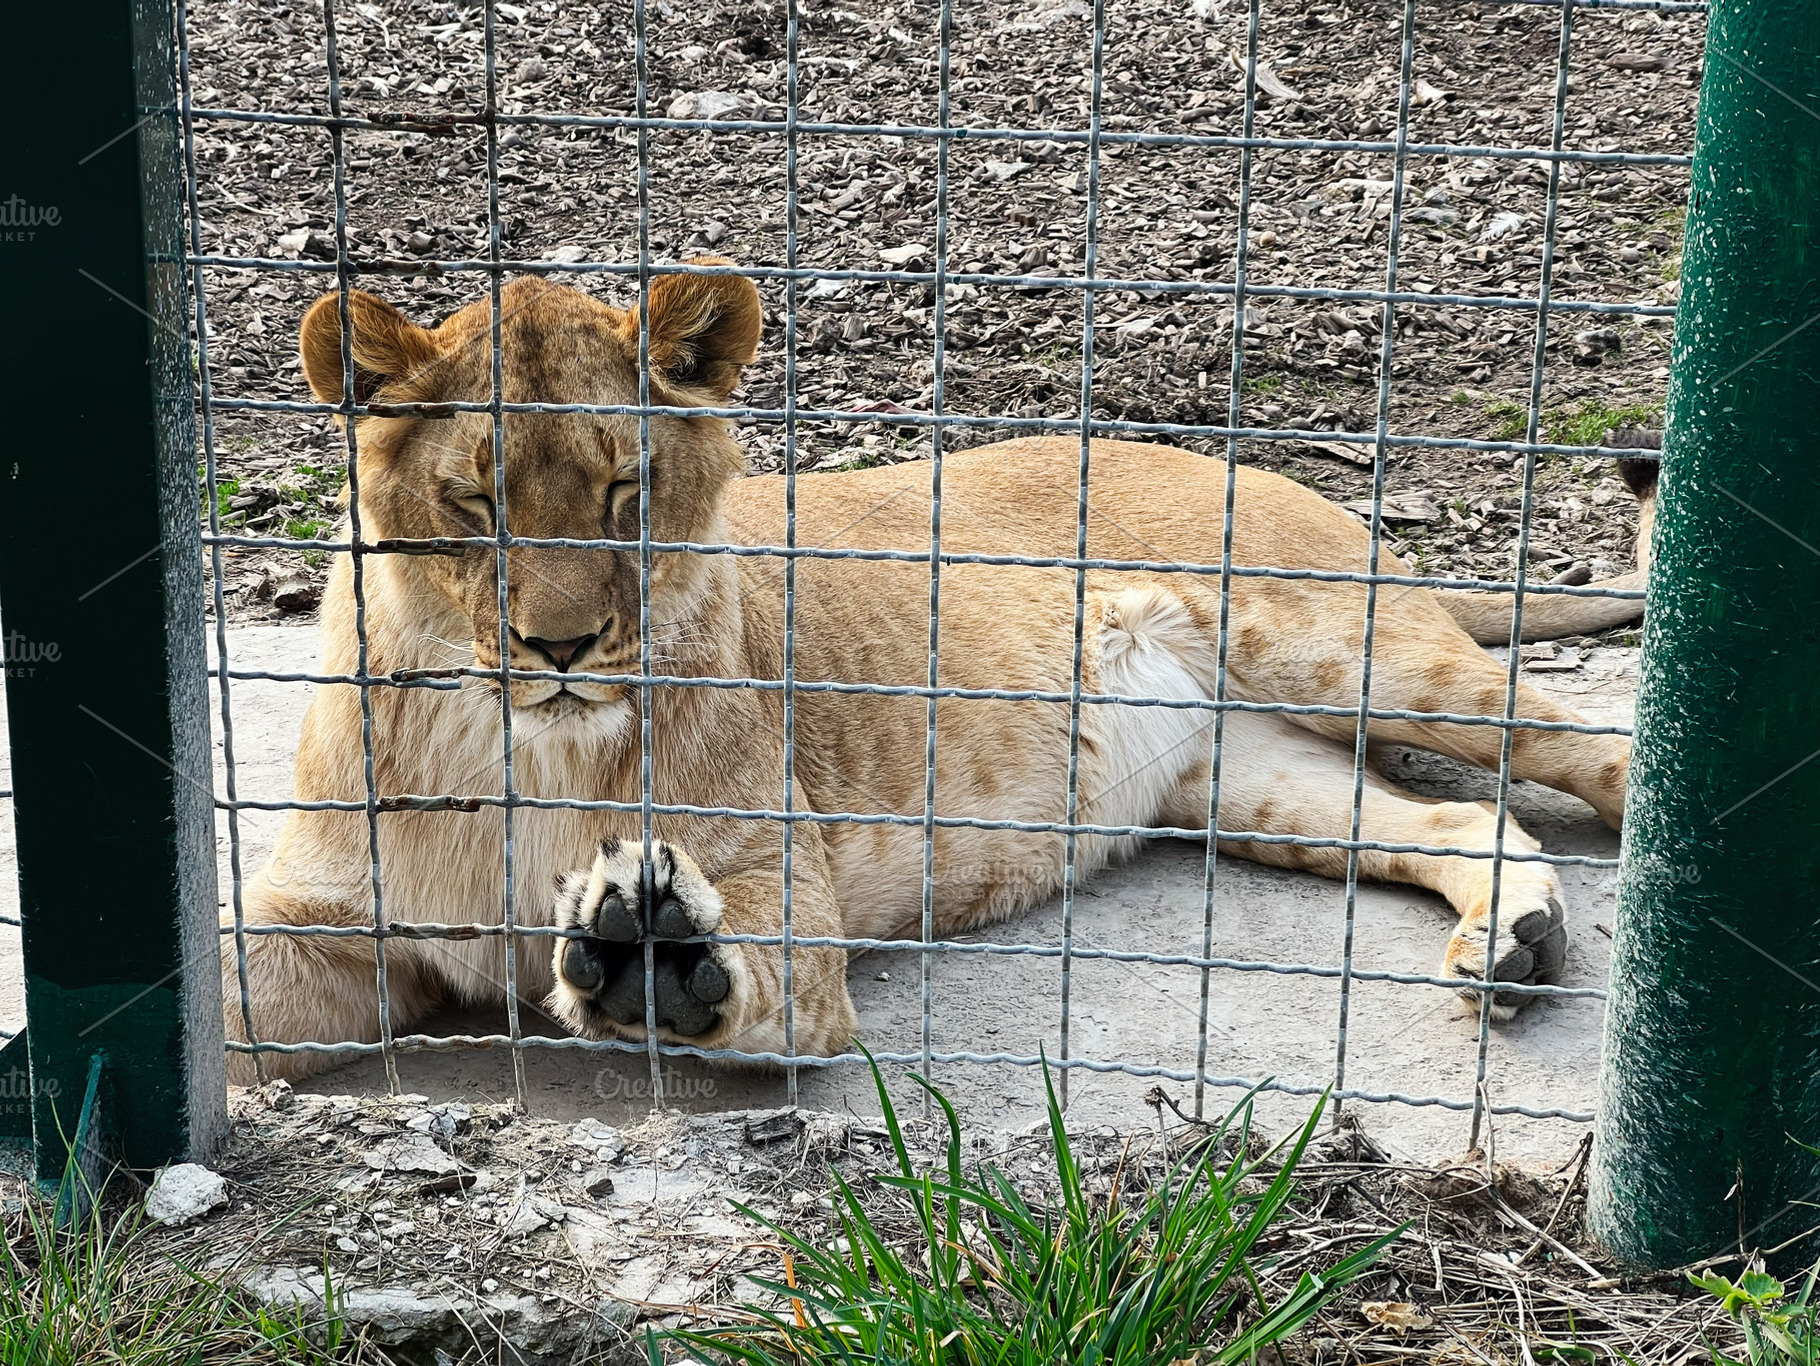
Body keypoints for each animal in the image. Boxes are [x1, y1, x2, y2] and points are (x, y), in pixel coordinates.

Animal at [224, 262, 1645, 1082]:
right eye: (474, 502)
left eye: (629, 491)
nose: (562, 647)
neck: (511, 740)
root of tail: (1219, 451)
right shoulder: (329, 921)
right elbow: (217, 997)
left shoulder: (785, 899)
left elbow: (760, 986)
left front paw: (648, 953)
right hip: (1238, 776)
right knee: (1455, 820)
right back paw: (1510, 939)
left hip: (1346, 649)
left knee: (1583, 748)